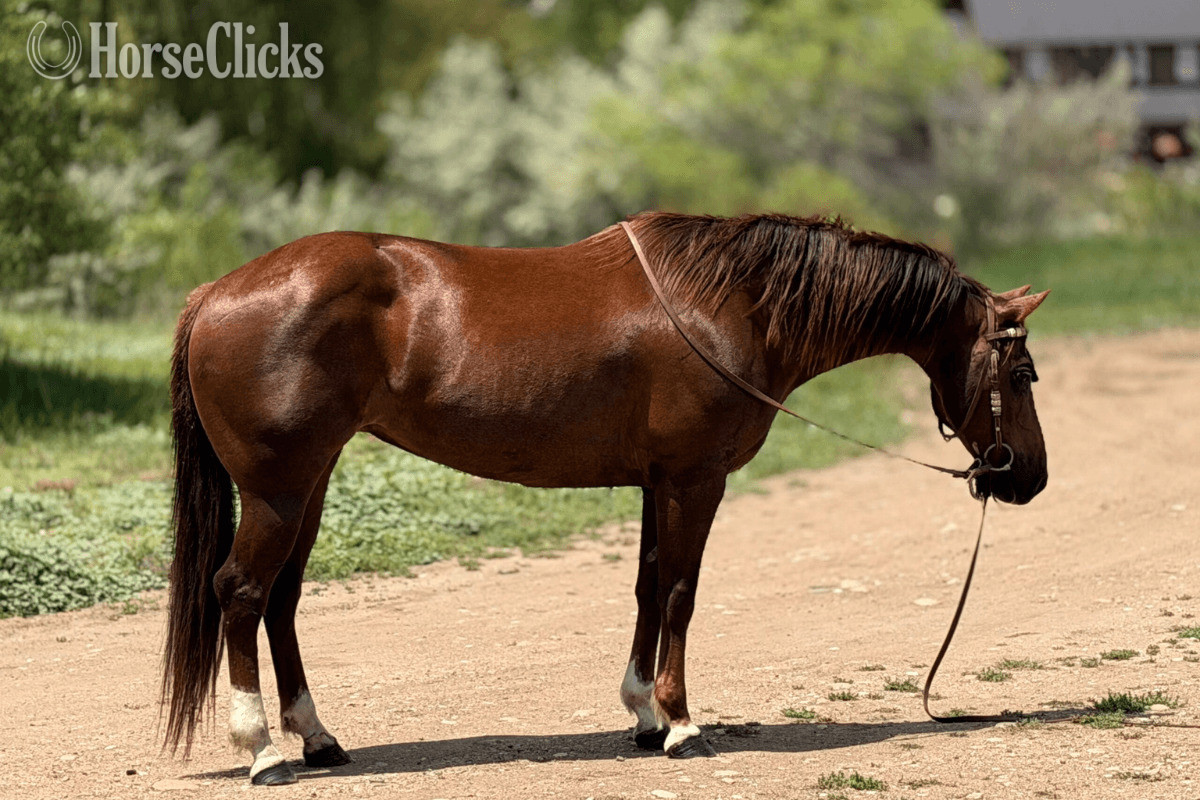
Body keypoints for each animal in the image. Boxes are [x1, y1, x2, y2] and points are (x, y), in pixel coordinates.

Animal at [161, 211, 1049, 784]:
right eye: (1022, 372)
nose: (1028, 477)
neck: (732, 303)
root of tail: (213, 293)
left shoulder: (658, 482)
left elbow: (648, 588)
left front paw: (643, 716)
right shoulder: (696, 478)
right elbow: (683, 592)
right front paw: (682, 724)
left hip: (308, 485)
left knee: (280, 602)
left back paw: (316, 739)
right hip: (277, 490)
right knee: (241, 594)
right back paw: (262, 751)